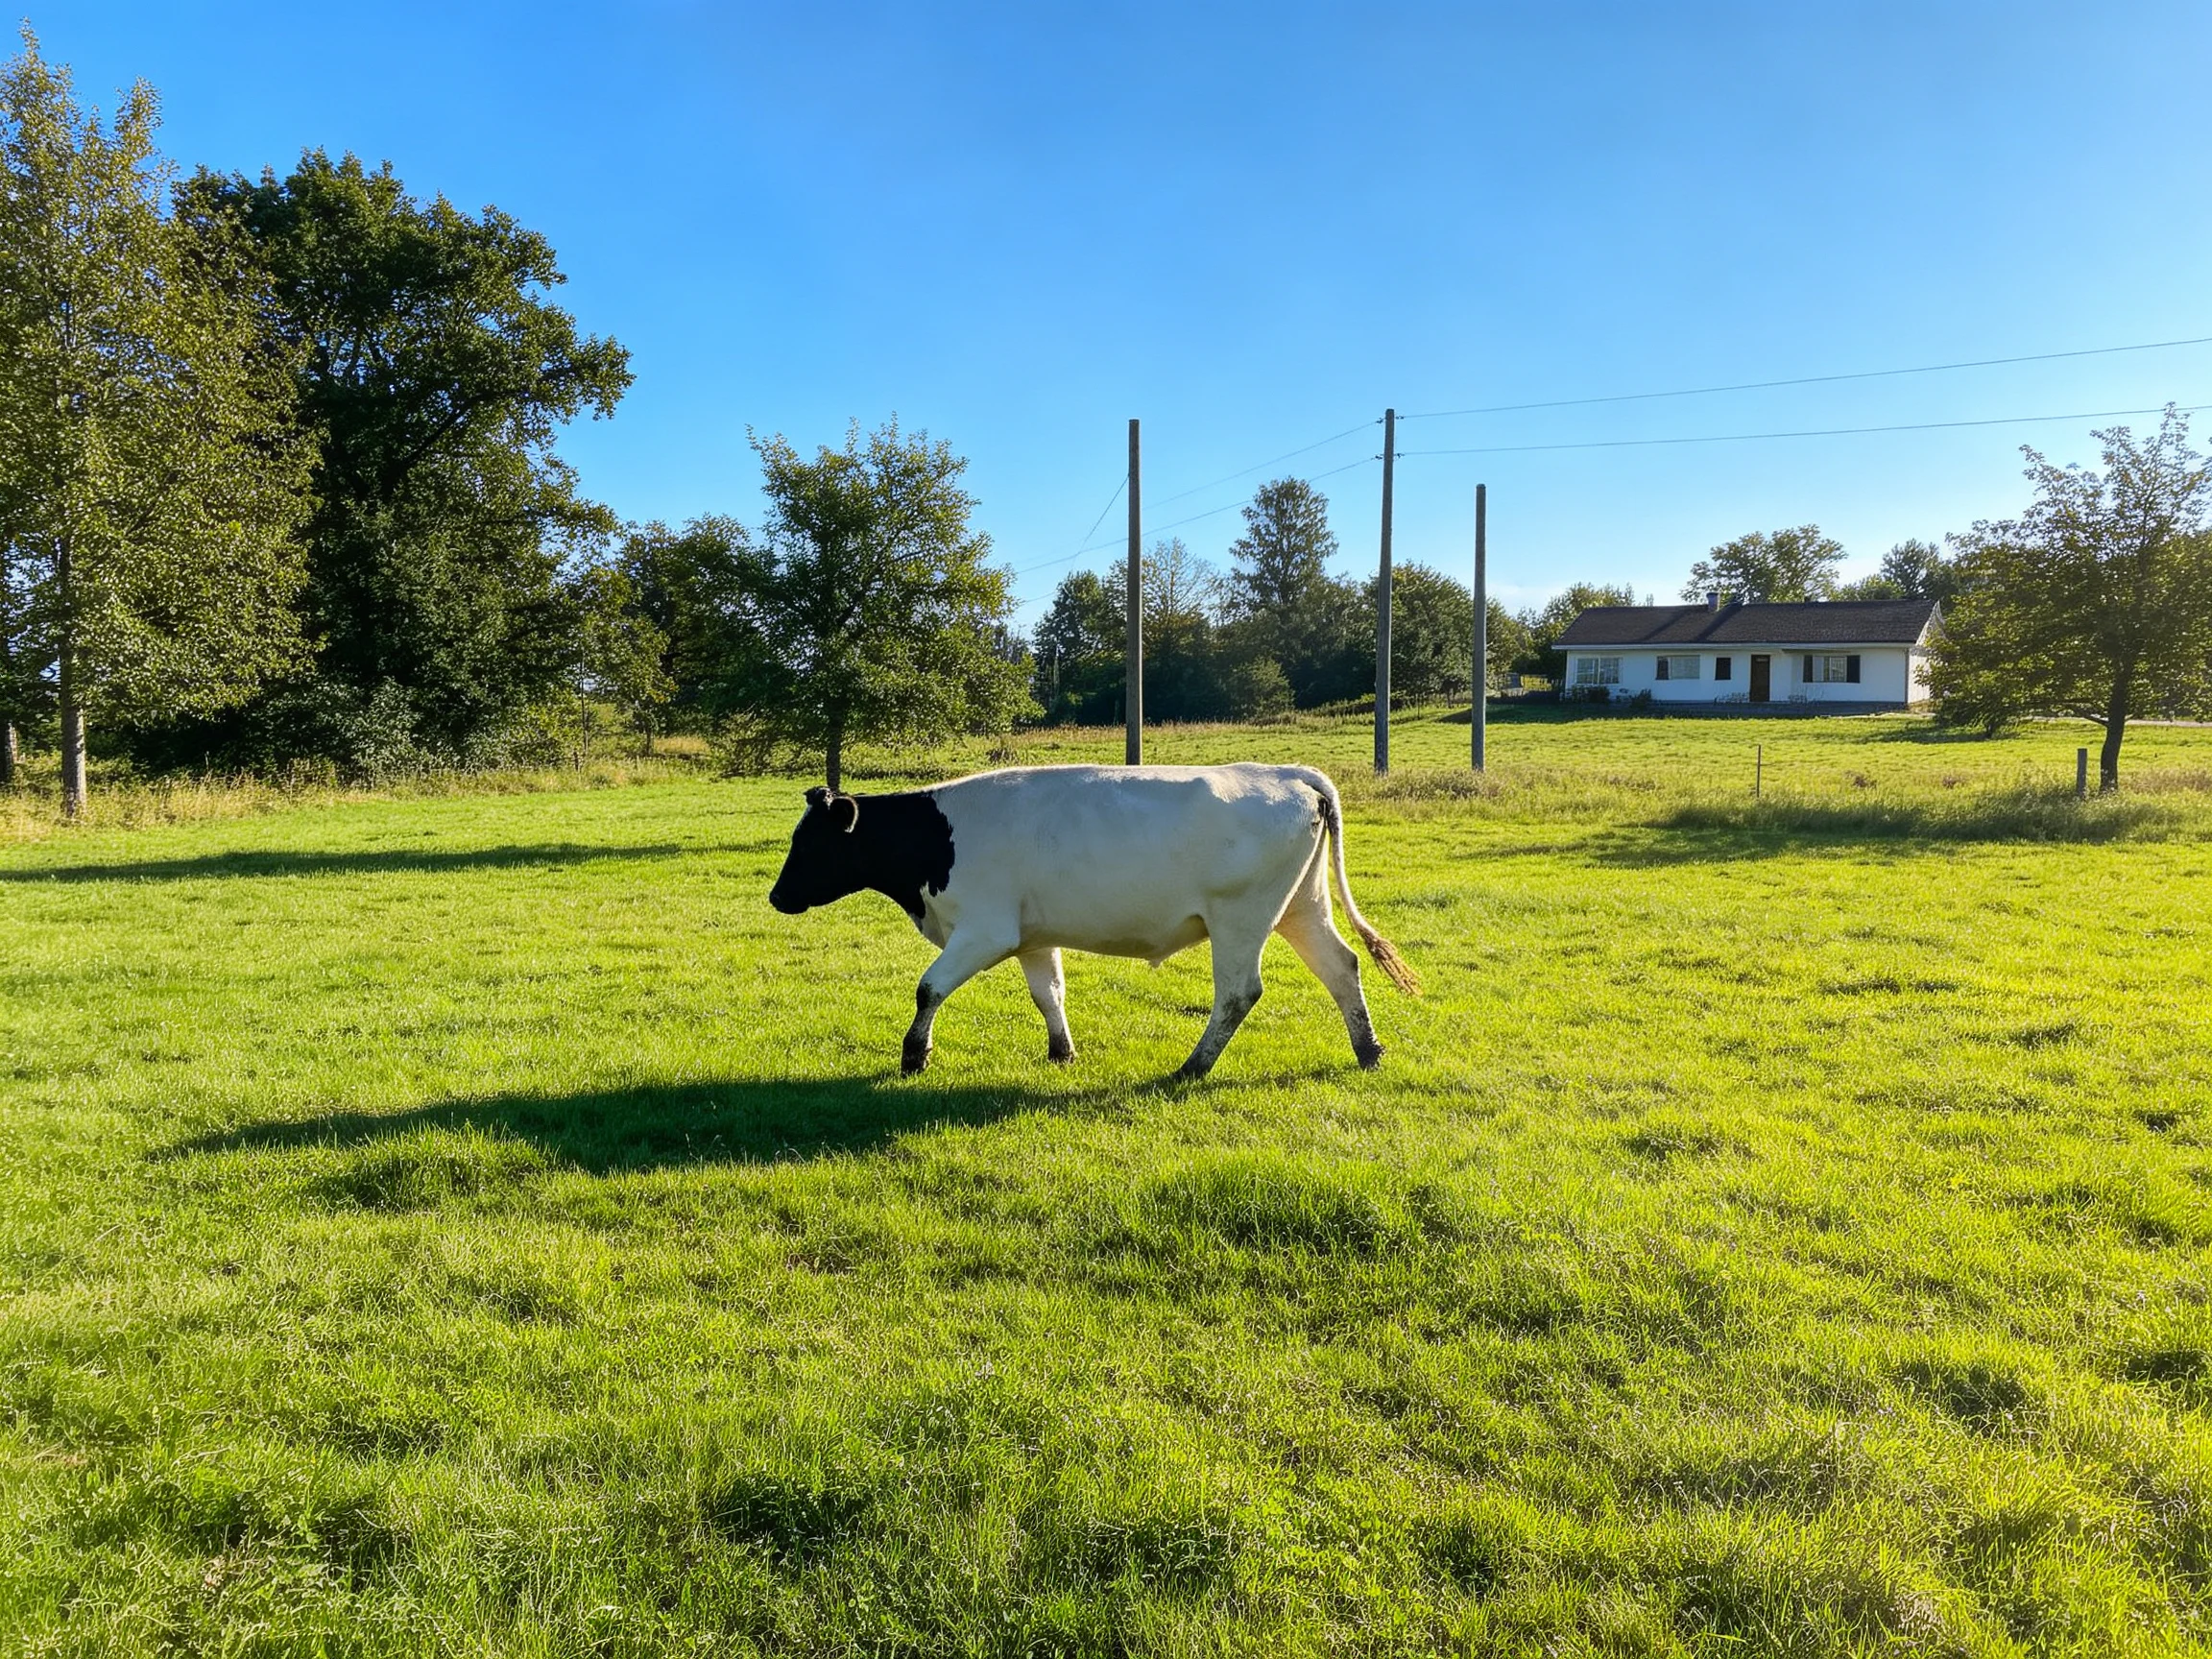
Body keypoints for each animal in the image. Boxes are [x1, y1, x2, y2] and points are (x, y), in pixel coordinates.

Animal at [767, 762, 1418, 1079]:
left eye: (811, 843)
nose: (776, 896)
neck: (937, 835)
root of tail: (1287, 772)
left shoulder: (985, 931)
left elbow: (928, 988)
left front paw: (913, 1055)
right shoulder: (1030, 936)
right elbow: (1048, 993)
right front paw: (1062, 1052)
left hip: (1241, 917)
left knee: (1239, 993)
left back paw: (1192, 1067)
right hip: (1302, 907)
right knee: (1342, 967)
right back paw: (1368, 1051)